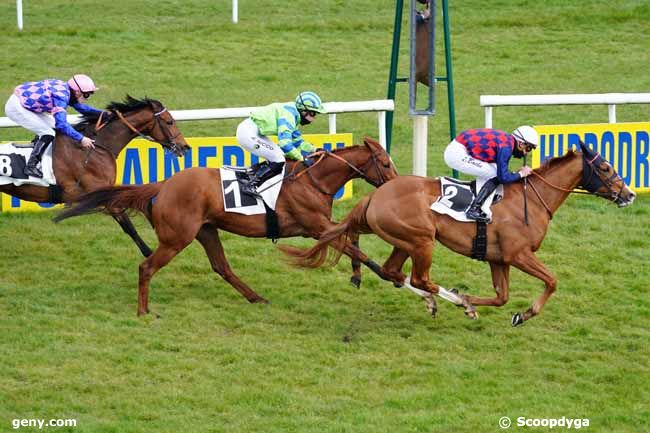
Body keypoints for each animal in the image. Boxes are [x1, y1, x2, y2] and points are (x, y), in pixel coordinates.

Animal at [1, 95, 190, 256]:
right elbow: (128, 225)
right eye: (169, 121)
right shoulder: (99, 194)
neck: (97, 147)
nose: (185, 147)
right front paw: (149, 253)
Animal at [54, 138, 394, 314]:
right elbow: (353, 245)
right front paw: (387, 274)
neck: (313, 179)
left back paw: (256, 297)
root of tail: (162, 185)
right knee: (147, 267)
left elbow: (352, 237)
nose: (396, 183)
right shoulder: (316, 227)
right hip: (177, 238)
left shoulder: (321, 225)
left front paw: (357, 277)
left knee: (222, 267)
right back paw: (143, 311)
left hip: (206, 230)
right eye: (385, 163)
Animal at [282, 143, 632, 326]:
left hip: (404, 241)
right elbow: (552, 281)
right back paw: (451, 300)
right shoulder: (519, 254)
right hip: (422, 240)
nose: (628, 194)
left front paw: (478, 302)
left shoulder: (498, 258)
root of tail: (374, 196)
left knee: (393, 271)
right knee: (420, 278)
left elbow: (501, 297)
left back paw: (442, 301)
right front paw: (524, 313)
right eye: (604, 168)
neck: (533, 199)